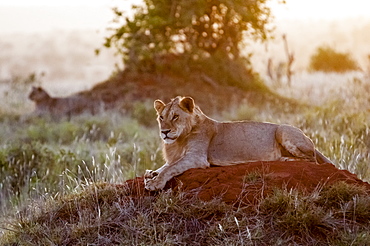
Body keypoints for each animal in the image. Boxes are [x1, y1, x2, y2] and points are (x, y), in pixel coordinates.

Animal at [145, 95, 332, 190]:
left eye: (175, 116)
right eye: (161, 117)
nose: (164, 132)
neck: (179, 140)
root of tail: (309, 138)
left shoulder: (196, 158)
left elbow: (170, 168)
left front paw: (155, 183)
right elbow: (165, 165)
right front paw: (150, 173)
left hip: (283, 130)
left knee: (312, 160)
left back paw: (284, 159)